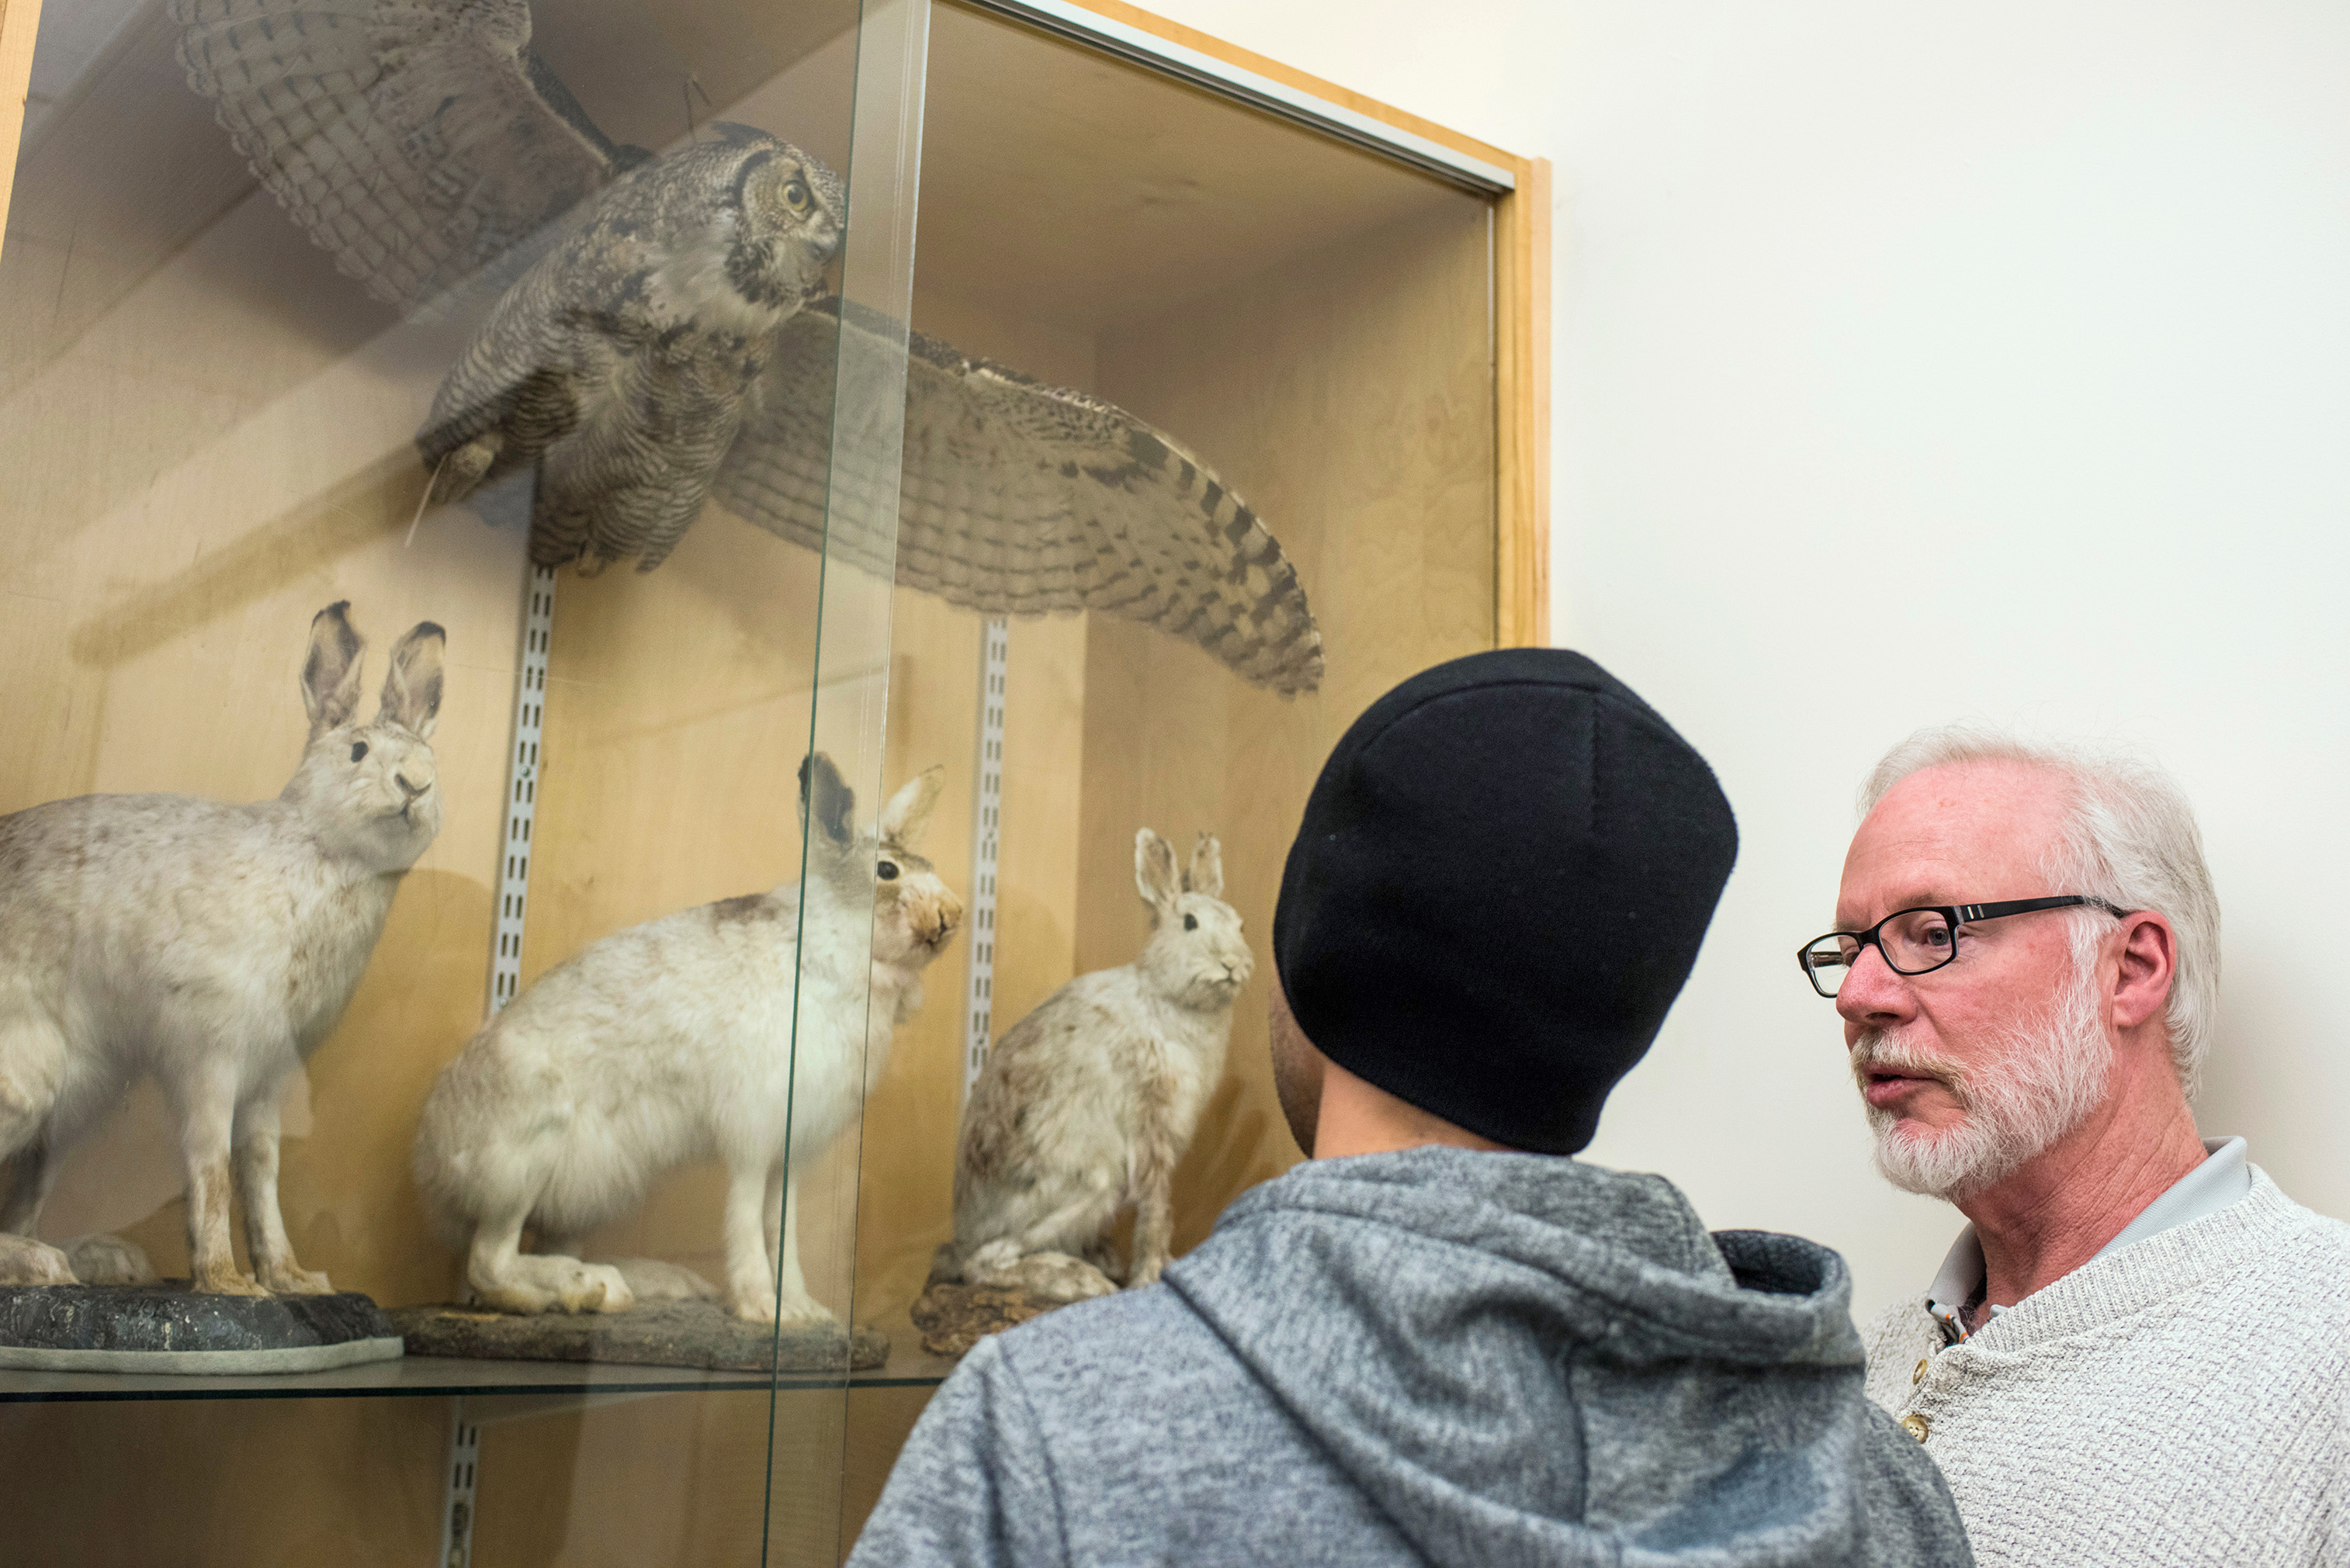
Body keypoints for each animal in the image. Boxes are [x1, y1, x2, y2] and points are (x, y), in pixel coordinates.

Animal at [0, 601, 444, 1288]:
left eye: (429, 754)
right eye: (358, 751)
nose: (416, 784)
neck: (321, 852)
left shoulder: (269, 1075)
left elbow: (260, 1168)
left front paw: (291, 1277)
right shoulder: (209, 1053)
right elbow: (209, 1163)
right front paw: (227, 1281)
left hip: (76, 1106)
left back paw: (92, 1259)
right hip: (28, 1076)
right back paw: (47, 1263)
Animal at [413, 752, 954, 1316]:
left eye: (930, 867)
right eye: (887, 871)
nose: (951, 916)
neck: (831, 946)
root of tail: (431, 1162)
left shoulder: (792, 1146)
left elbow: (781, 1224)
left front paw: (803, 1310)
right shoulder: (755, 1126)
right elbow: (746, 1214)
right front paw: (761, 1305)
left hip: (586, 1188)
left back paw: (642, 1284)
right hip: (523, 1159)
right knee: (490, 1262)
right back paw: (585, 1289)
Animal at [945, 832, 1260, 1297]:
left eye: (1240, 925)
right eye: (1189, 923)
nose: (1233, 965)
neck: (1164, 998)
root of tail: (964, 1231)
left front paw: (1165, 1263)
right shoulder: (1149, 1122)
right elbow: (1155, 1206)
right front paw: (1149, 1276)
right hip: (1090, 1183)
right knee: (981, 1264)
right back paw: (1076, 1280)